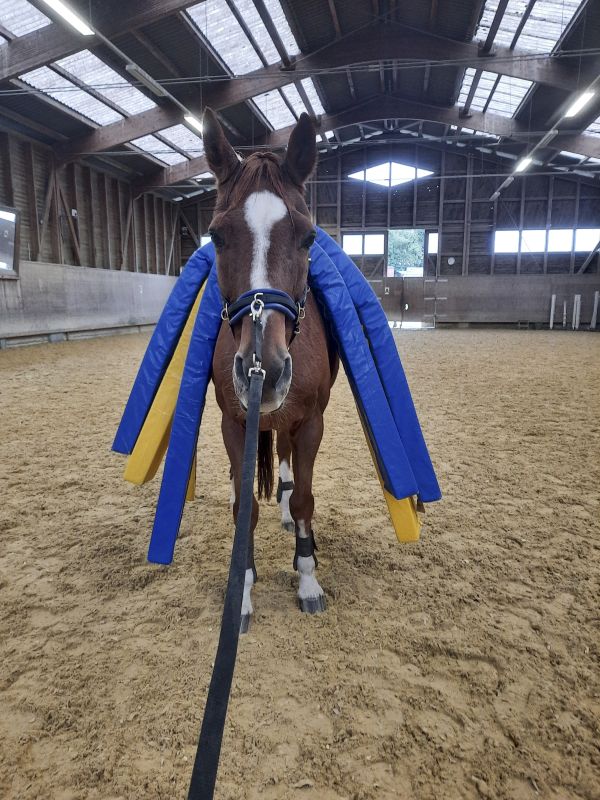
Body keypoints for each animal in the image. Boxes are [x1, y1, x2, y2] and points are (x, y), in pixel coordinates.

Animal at [203, 107, 338, 631]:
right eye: (217, 235)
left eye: (307, 236)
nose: (266, 367)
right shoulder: (234, 423)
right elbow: (244, 505)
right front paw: (241, 589)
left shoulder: (311, 423)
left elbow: (304, 499)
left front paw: (308, 580)